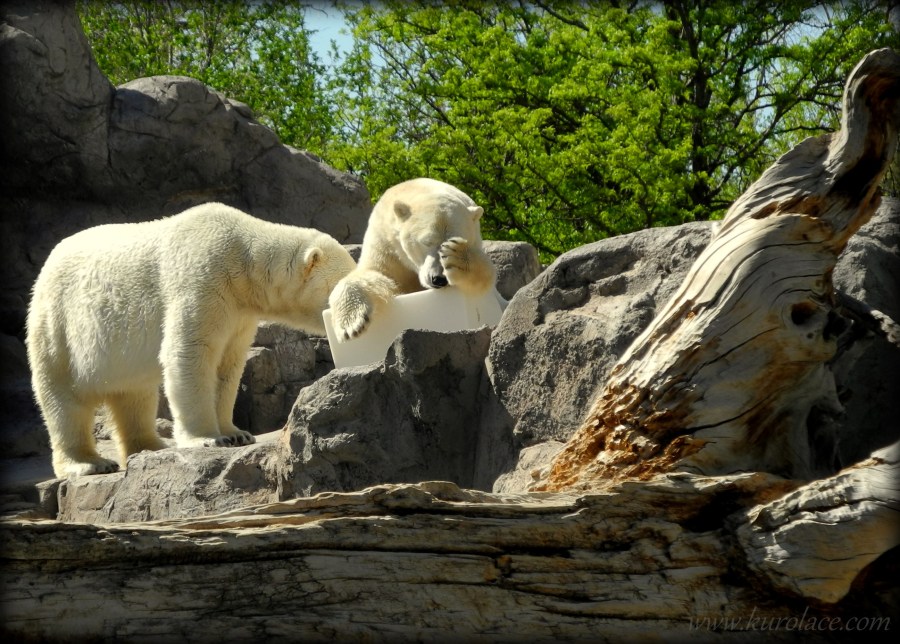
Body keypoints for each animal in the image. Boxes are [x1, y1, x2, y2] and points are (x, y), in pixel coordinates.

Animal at [26, 203, 356, 478]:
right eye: (342, 287)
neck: (243, 257)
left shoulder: (238, 313)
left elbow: (227, 366)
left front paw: (236, 433)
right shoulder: (203, 279)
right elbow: (190, 354)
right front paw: (208, 439)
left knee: (134, 394)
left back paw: (152, 445)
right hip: (57, 324)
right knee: (63, 399)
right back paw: (90, 463)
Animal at [328, 178, 498, 340]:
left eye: (452, 241)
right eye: (426, 242)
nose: (439, 279)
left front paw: (458, 257)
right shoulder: (386, 245)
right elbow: (378, 275)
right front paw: (352, 324)